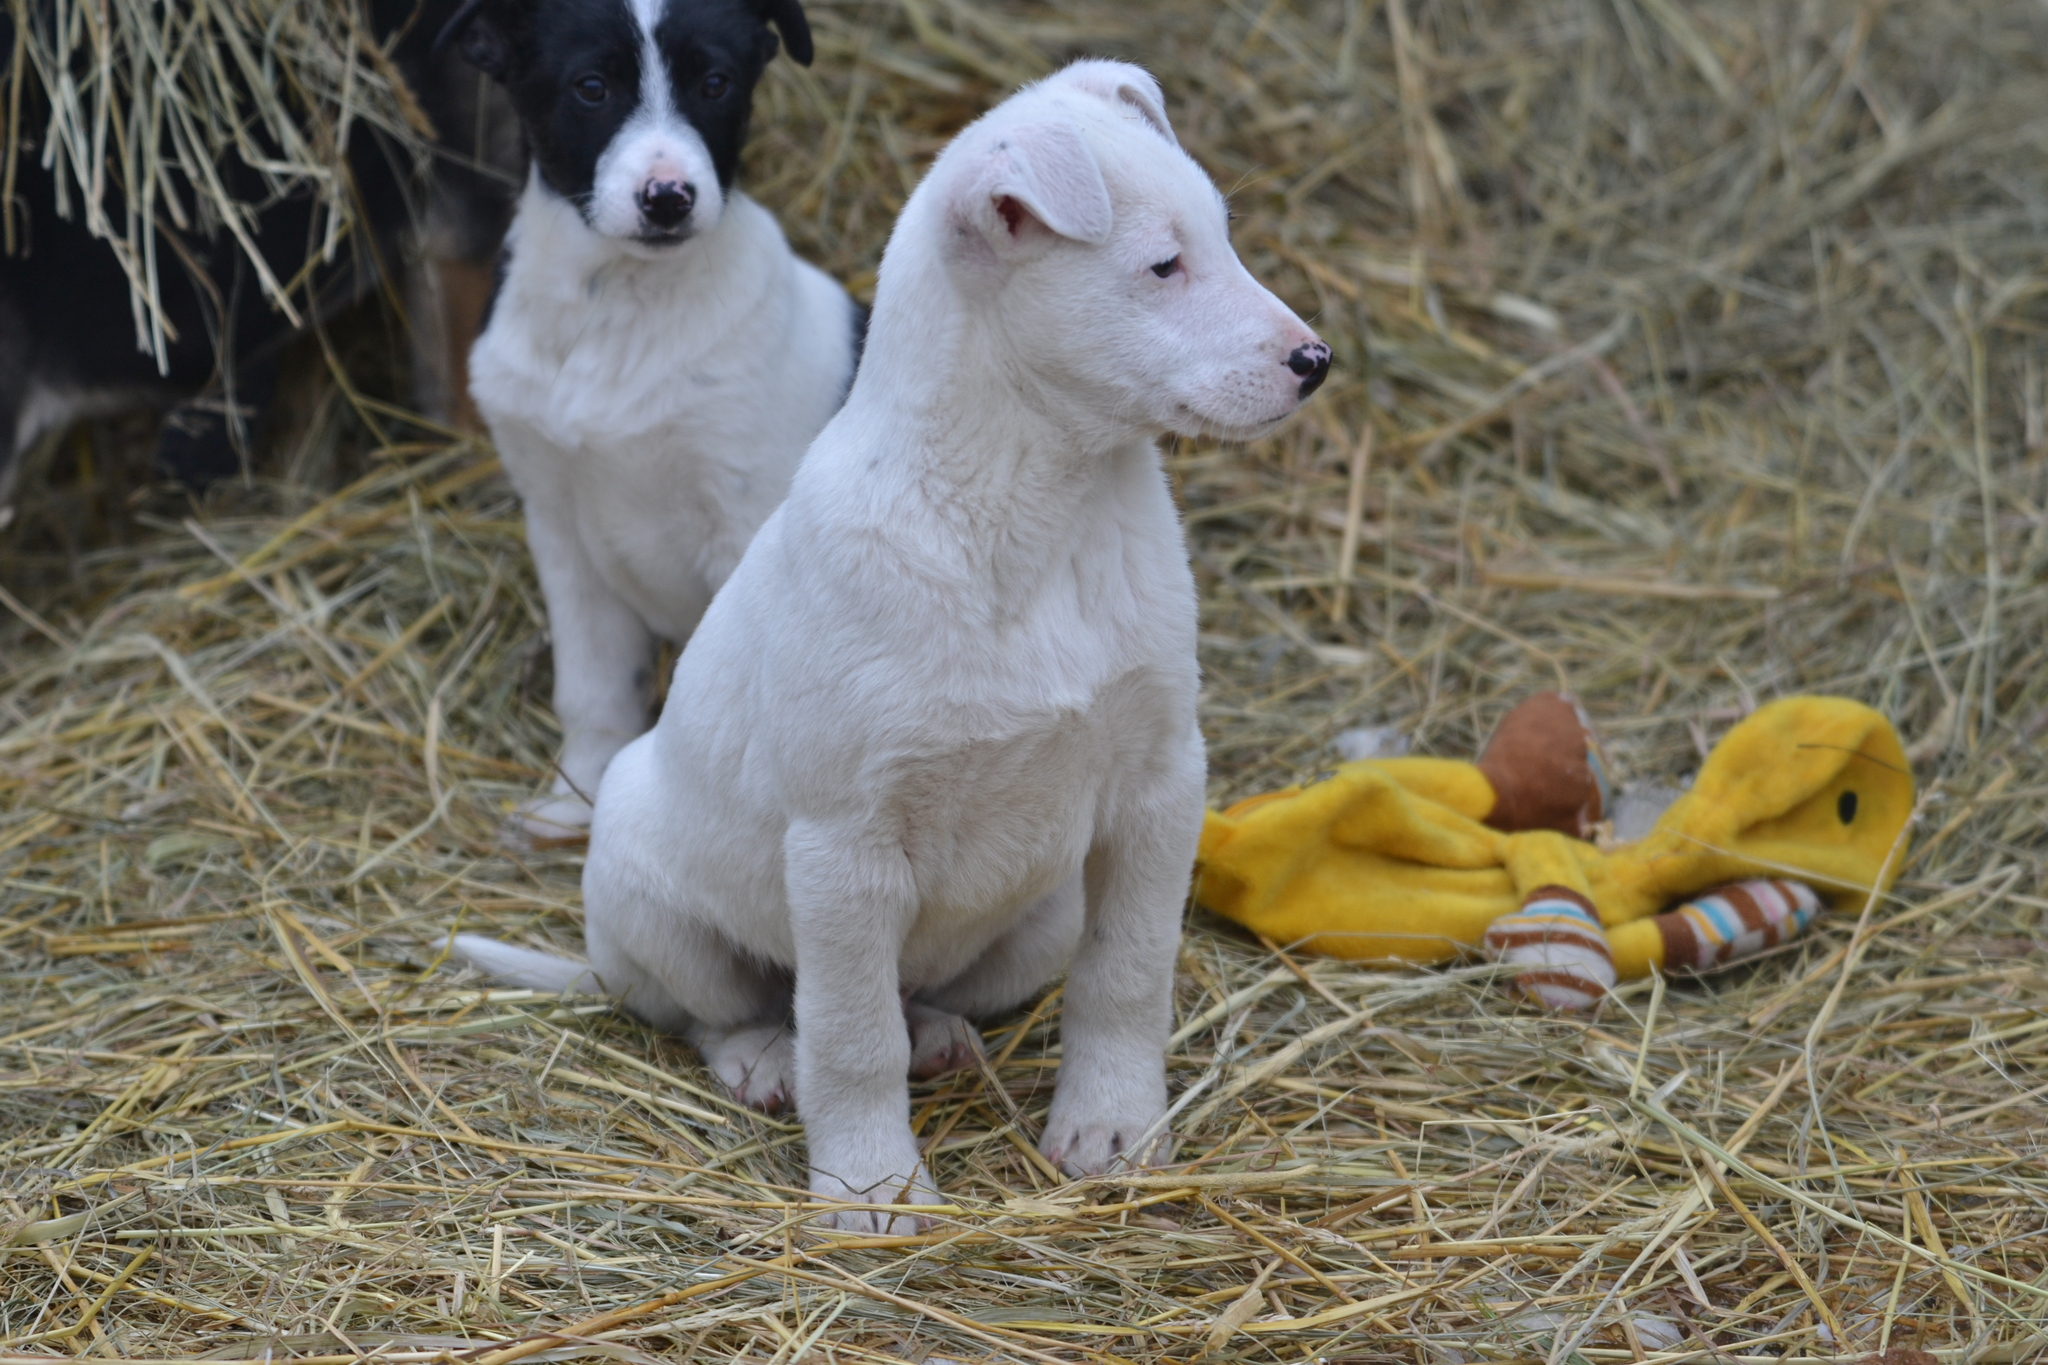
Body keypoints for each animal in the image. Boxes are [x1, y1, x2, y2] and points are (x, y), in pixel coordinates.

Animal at [440, 0, 864, 839]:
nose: (668, 198)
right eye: (592, 87)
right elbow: (594, 684)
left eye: (715, 82)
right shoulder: (557, 521)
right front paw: (574, 800)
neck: (622, 304)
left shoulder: (741, 520)